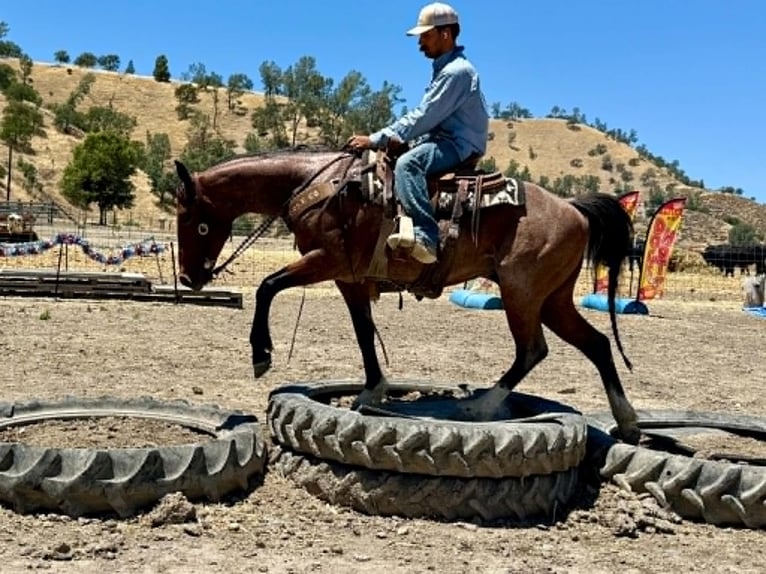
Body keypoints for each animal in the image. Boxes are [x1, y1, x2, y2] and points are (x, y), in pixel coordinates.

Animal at [174, 148, 640, 443]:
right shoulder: (350, 278)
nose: (188, 277)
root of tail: (574, 208)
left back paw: (481, 407)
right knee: (597, 344)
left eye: (193, 219)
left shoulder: (327, 261)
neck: (318, 186)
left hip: (521, 293)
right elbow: (363, 332)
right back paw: (628, 423)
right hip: (552, 299)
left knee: (532, 349)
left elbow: (268, 285)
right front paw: (372, 390)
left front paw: (261, 354)